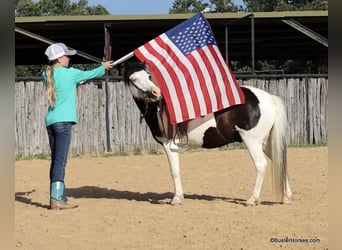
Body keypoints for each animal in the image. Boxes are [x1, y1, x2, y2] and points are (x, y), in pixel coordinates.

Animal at [122, 62, 292, 205]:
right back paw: (286, 197)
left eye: (149, 76)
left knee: (261, 165)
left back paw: (252, 199)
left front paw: (176, 198)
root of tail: (269, 98)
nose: (156, 92)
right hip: (265, 143)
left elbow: (175, 171)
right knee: (279, 161)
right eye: (134, 78)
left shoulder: (169, 144)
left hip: (253, 142)